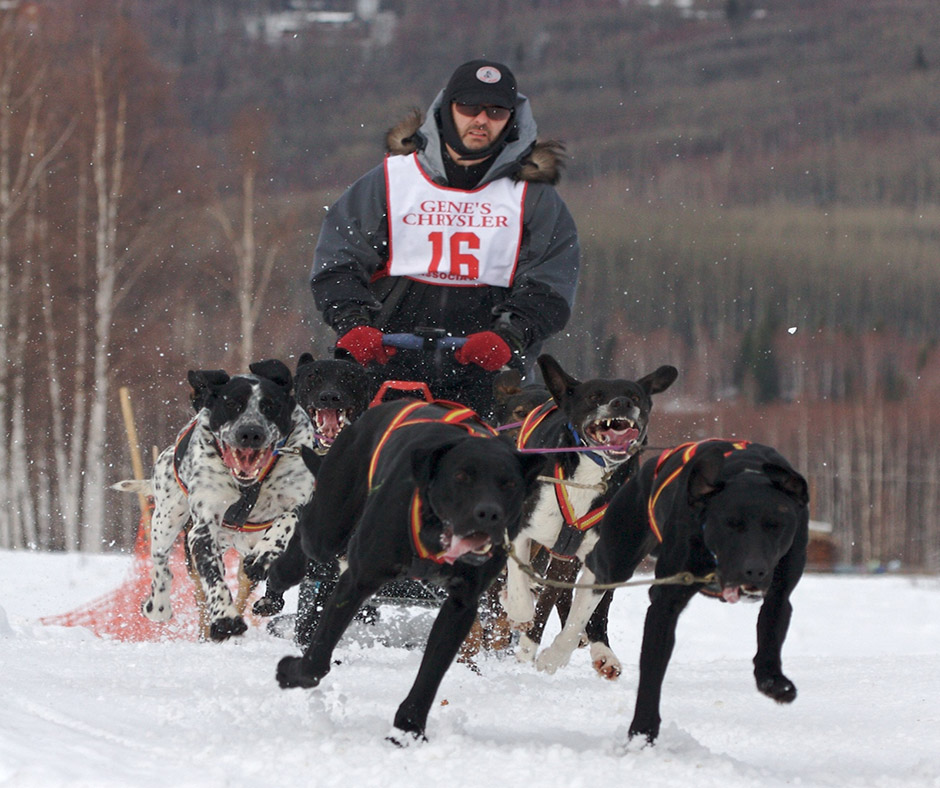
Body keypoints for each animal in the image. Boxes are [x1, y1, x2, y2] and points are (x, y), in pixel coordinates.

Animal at [115, 358, 314, 640]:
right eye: (231, 404)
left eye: (270, 406)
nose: (250, 432)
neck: (249, 488)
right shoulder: (202, 529)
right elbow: (213, 579)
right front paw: (225, 618)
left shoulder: (300, 501)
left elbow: (287, 521)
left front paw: (266, 552)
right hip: (167, 519)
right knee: (161, 563)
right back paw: (159, 605)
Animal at [500, 356, 676, 676]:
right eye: (594, 396)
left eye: (635, 397)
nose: (621, 403)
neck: (592, 476)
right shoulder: (520, 530)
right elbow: (520, 588)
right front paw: (519, 613)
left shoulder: (602, 559)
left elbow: (578, 618)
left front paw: (553, 656)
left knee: (585, 607)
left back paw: (600, 651)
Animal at [536, 438, 808, 744]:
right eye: (730, 524)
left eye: (776, 525)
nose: (754, 570)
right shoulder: (665, 602)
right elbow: (652, 671)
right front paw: (642, 733)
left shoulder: (779, 593)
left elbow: (771, 633)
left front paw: (773, 680)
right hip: (618, 553)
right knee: (593, 579)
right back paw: (559, 651)